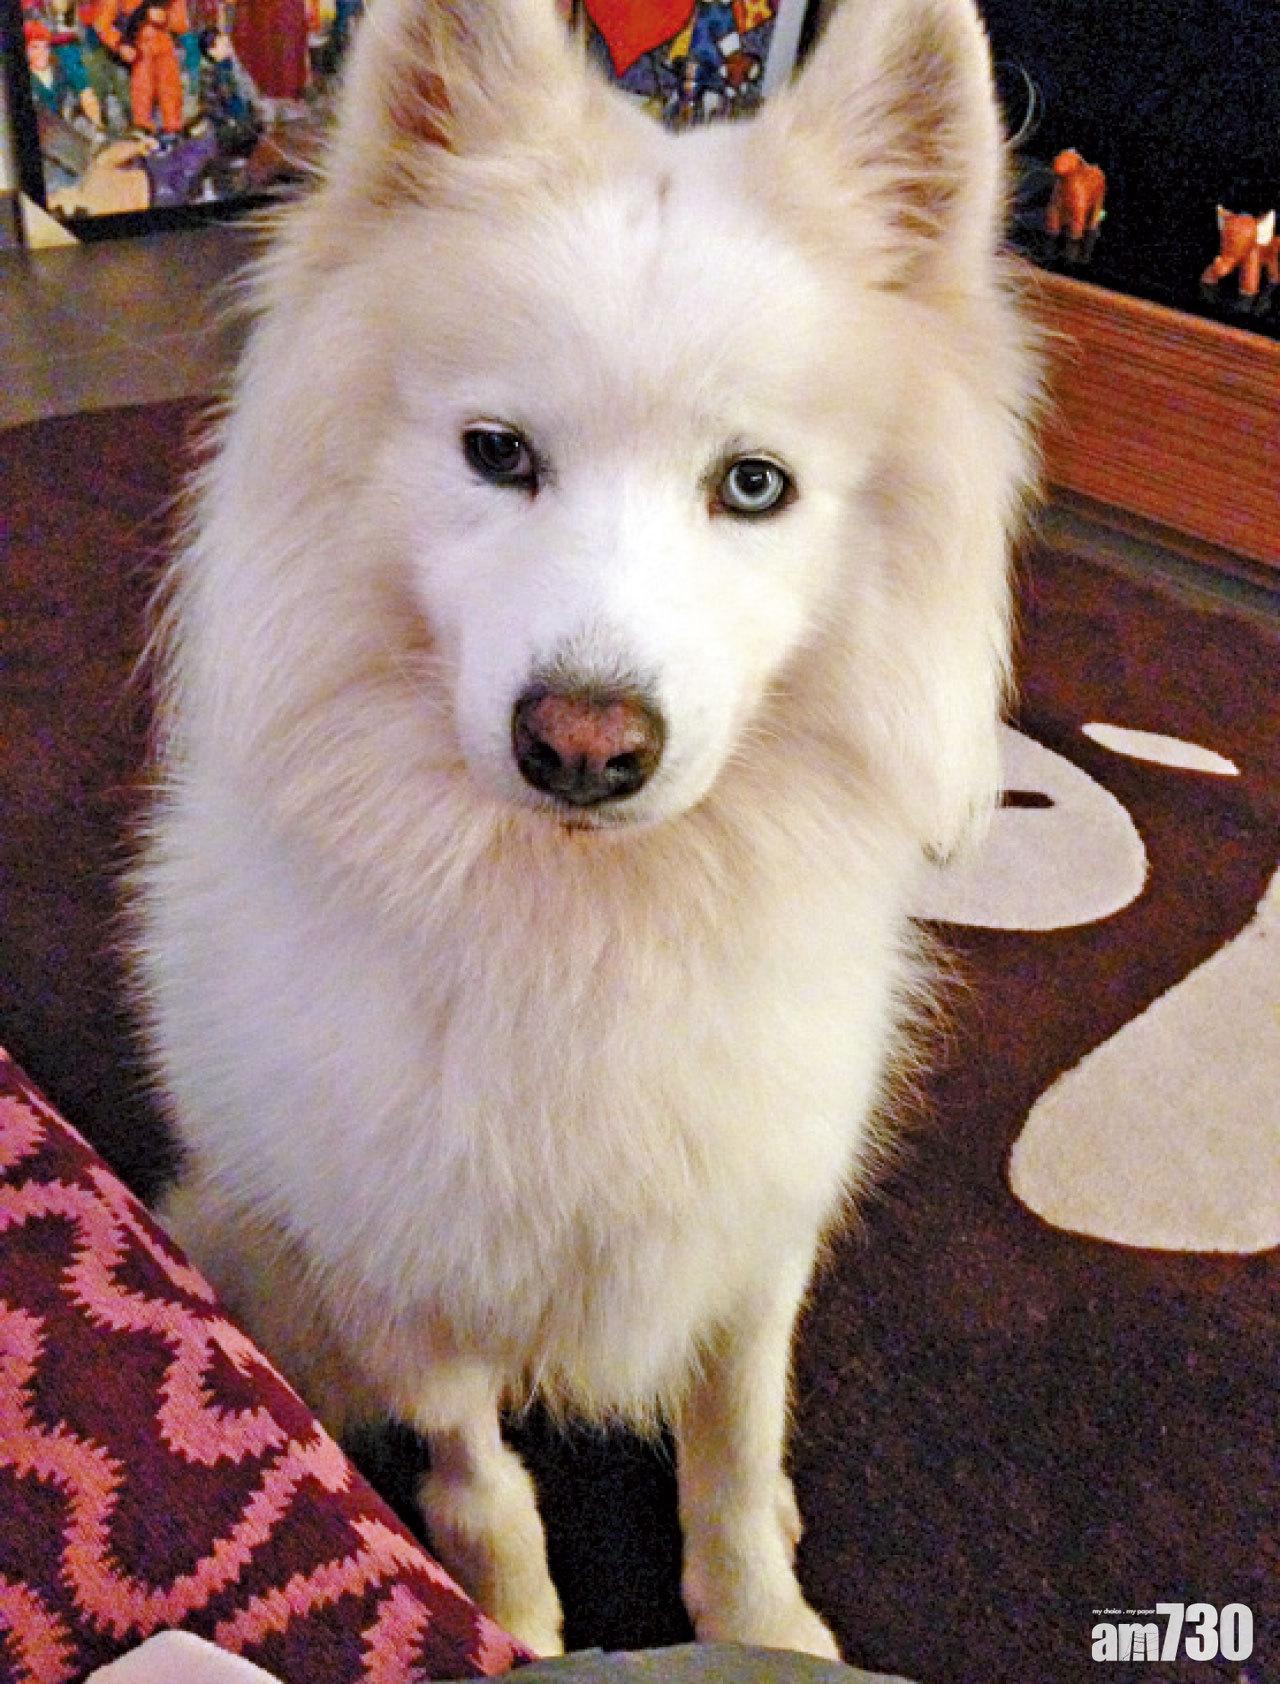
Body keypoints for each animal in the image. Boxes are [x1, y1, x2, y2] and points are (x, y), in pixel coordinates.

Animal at [135, 0, 1037, 1661]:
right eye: (498, 454)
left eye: (754, 485)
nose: (584, 745)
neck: (592, 920)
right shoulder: (403, 1268)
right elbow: (480, 1479)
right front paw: (508, 1627)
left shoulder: (752, 1238)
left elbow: (734, 1451)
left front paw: (763, 1627)